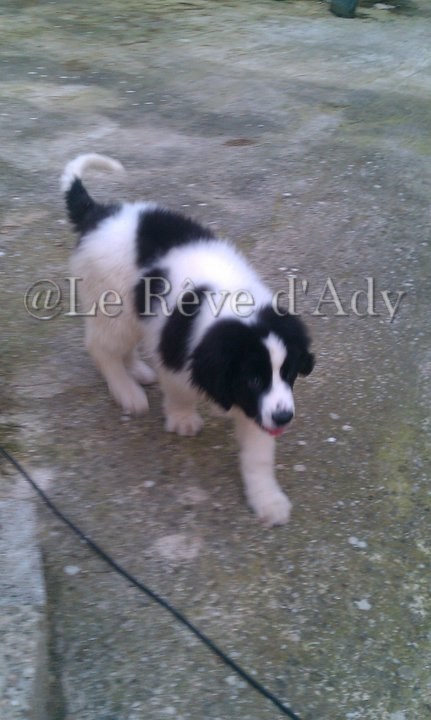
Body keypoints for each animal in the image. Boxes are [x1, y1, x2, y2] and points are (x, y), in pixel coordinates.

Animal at [61, 153, 314, 526]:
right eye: (253, 378)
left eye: (289, 373)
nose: (284, 419)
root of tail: (99, 213)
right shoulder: (177, 352)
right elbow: (179, 388)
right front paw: (182, 418)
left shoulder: (262, 405)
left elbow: (258, 452)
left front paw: (267, 499)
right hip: (112, 303)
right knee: (101, 347)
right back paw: (127, 391)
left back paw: (138, 371)